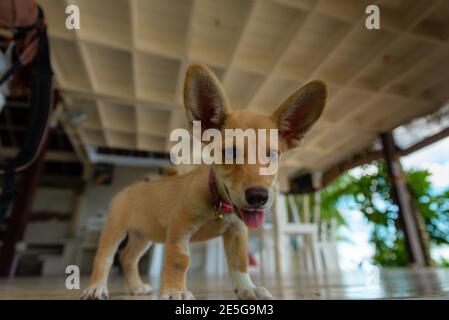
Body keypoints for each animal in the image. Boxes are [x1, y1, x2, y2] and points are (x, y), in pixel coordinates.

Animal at [81, 65, 326, 300]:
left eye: (273, 154)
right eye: (229, 152)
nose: (258, 197)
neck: (219, 203)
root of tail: (129, 188)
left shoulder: (237, 232)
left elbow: (240, 263)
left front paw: (247, 289)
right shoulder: (180, 226)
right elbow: (179, 260)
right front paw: (174, 291)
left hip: (144, 236)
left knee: (127, 258)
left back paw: (136, 287)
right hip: (114, 232)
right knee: (104, 258)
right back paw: (96, 287)